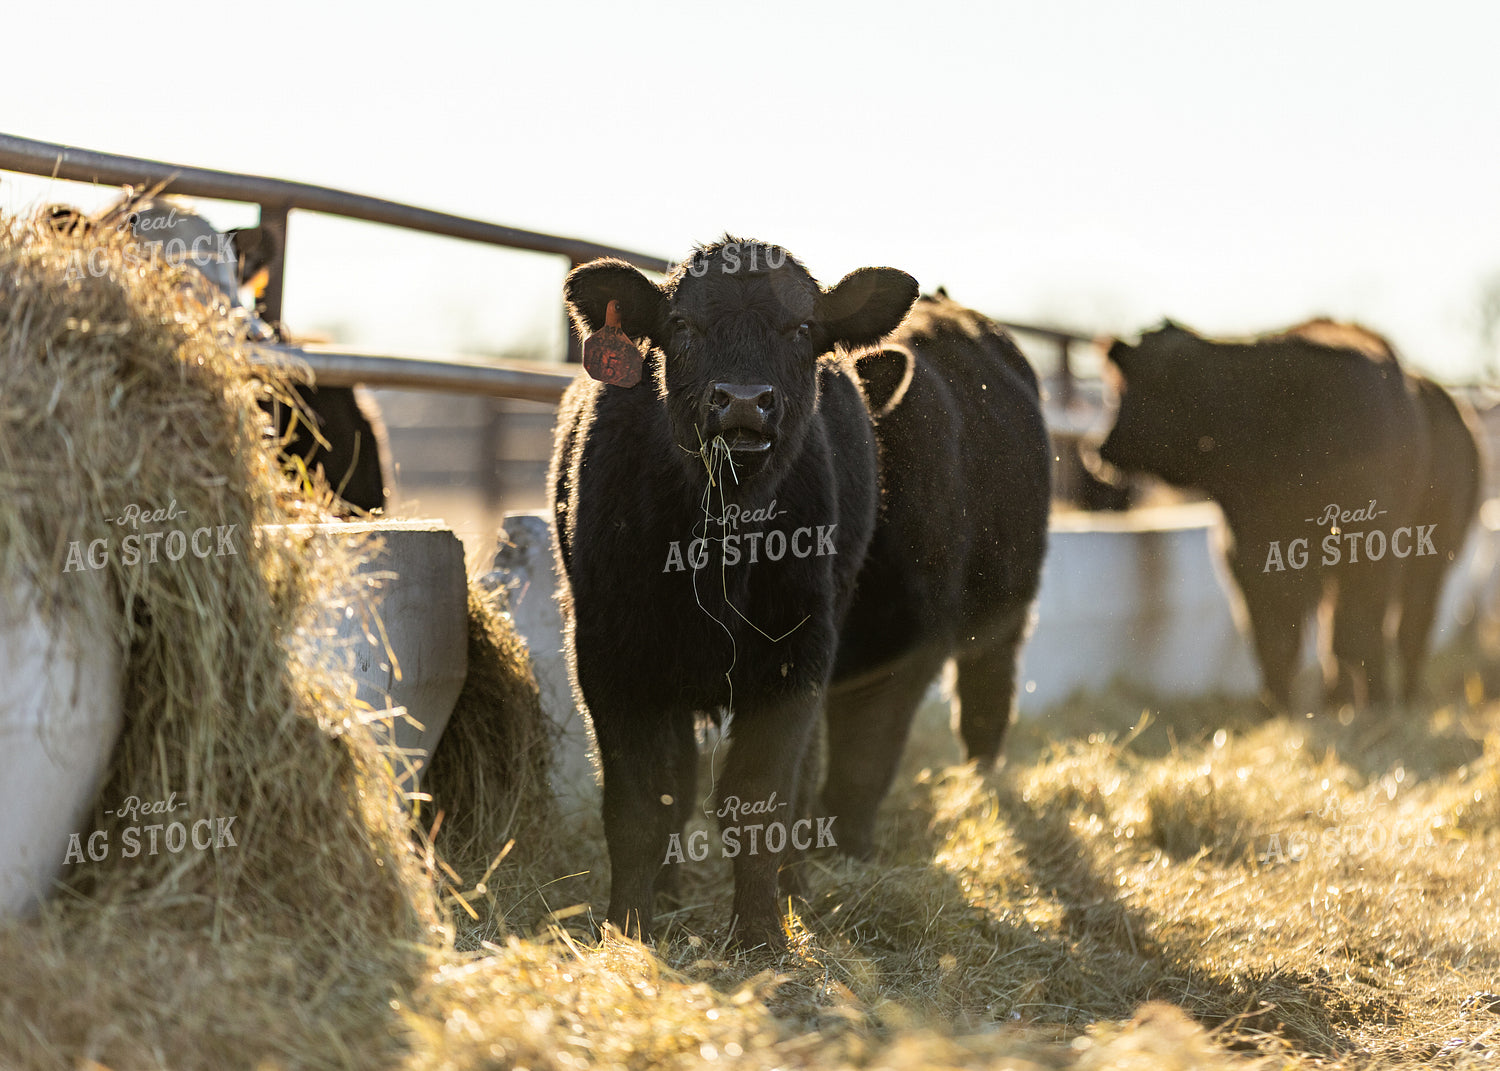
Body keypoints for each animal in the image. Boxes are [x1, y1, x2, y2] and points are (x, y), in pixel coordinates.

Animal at [1098, 319, 1481, 710]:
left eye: (1131, 386)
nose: (1099, 448)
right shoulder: (1250, 557)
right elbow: (1278, 639)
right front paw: (1278, 706)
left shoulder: (1372, 551)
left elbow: (1356, 633)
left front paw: (1375, 704)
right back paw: (1337, 699)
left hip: (1431, 561)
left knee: (1408, 629)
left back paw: (1401, 697)